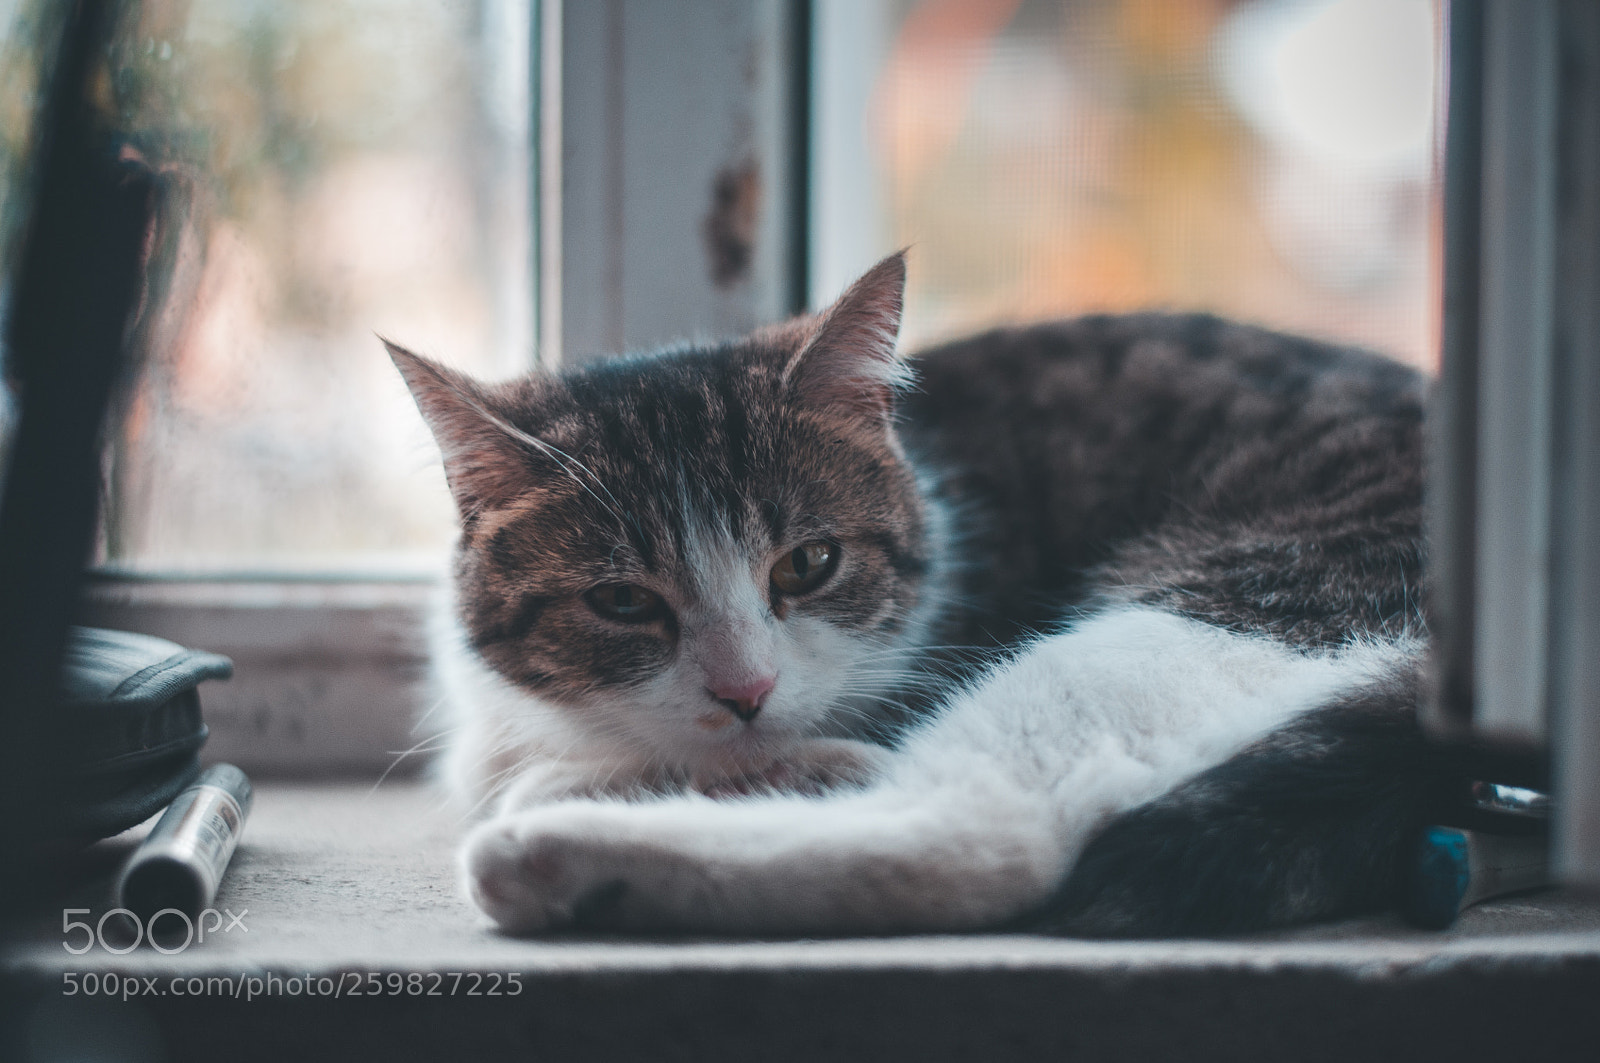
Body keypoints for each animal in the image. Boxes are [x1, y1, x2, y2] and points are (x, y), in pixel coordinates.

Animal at [390, 252, 1440, 934]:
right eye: (622, 603)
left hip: (1248, 592)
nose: (745, 692)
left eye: (809, 564)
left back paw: (556, 854)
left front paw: (603, 780)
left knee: (993, 829)